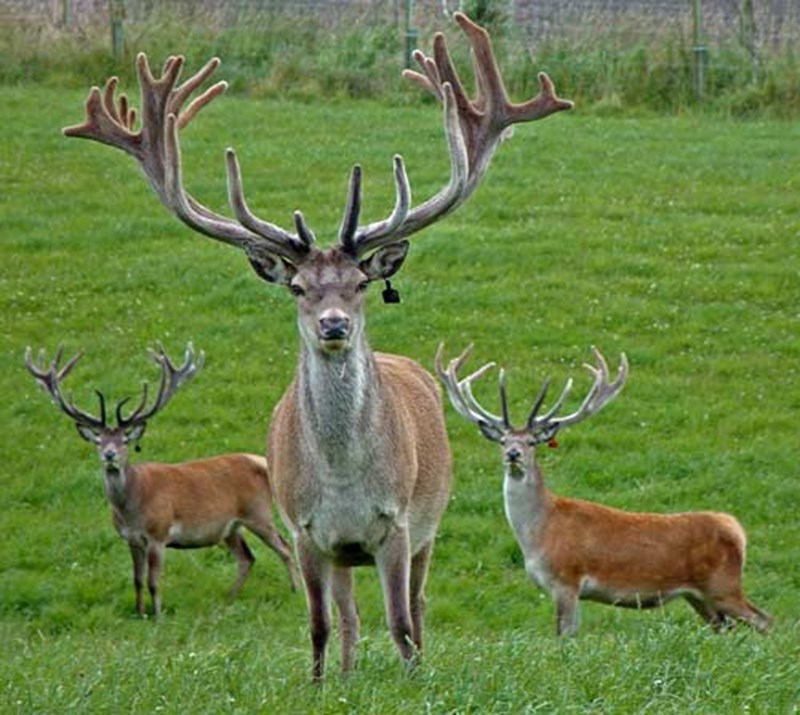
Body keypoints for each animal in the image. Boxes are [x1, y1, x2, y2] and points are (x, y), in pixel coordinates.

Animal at [25, 343, 299, 618]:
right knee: (247, 557)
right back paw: (228, 598)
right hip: (231, 526)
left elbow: (153, 581)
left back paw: (295, 591)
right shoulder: (131, 539)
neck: (131, 509)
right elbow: (137, 579)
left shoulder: (158, 534)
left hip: (258, 513)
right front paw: (140, 613)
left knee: (285, 547)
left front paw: (157, 616)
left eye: (125, 440)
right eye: (99, 441)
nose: (109, 455)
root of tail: (261, 462)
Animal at [61, 13, 573, 677]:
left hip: (430, 522)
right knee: (350, 617)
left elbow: (401, 623)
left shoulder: (396, 524)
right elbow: (320, 625)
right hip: (341, 552)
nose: (334, 325)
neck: (343, 481)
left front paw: (415, 681)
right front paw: (322, 684)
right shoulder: (307, 530)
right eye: (299, 286)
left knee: (418, 604)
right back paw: (352, 673)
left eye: (360, 283)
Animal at [436, 344, 772, 637]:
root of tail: (737, 529)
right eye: (503, 440)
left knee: (765, 620)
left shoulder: (567, 579)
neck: (538, 533)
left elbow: (564, 635)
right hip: (700, 596)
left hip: (723, 585)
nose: (513, 454)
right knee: (726, 628)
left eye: (532, 442)